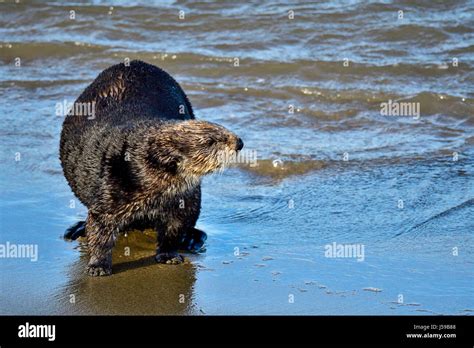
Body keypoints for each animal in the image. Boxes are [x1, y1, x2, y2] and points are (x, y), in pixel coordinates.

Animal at [59, 60, 244, 278]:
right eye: (211, 141)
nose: (239, 142)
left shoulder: (182, 198)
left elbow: (174, 228)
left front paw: (169, 255)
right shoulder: (109, 191)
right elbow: (100, 228)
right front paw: (98, 266)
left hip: (195, 198)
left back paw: (192, 239)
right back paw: (78, 229)